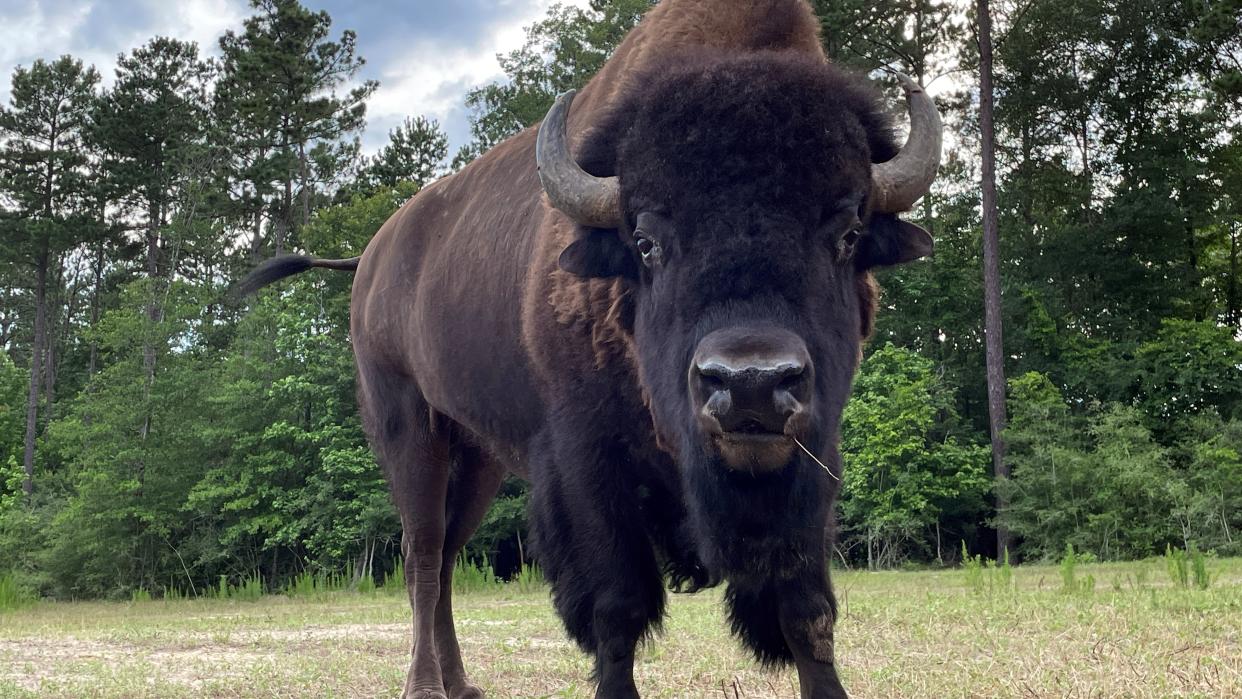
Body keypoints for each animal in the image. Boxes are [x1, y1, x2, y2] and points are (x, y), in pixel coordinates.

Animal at [239, 1, 938, 699]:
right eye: (646, 241)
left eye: (848, 233)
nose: (750, 384)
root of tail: (371, 257)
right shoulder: (585, 464)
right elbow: (616, 607)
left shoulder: (812, 459)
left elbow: (805, 608)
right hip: (409, 429)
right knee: (423, 556)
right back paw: (425, 686)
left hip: (480, 460)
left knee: (447, 557)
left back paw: (463, 684)